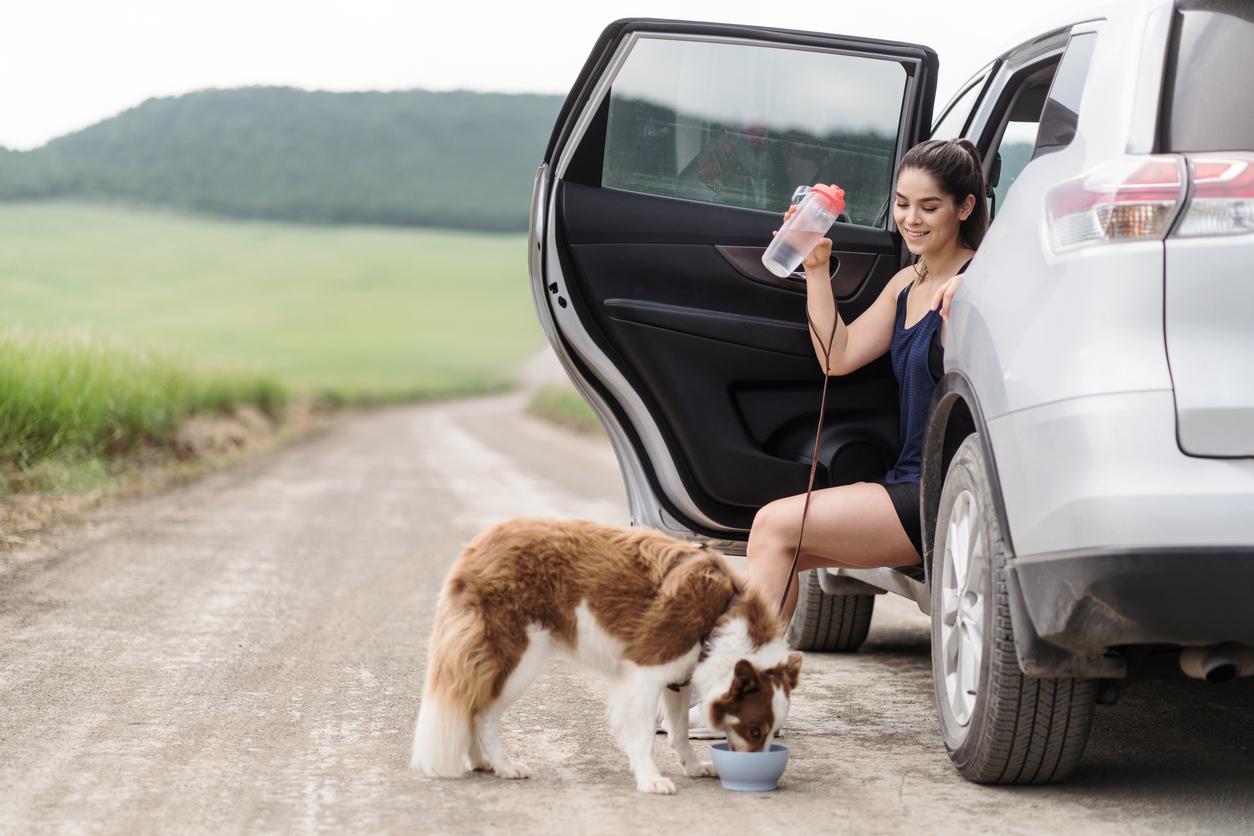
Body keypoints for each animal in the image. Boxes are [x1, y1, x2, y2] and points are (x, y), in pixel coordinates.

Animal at [411, 516, 802, 797]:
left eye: (771, 733)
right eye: (755, 729)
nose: (757, 774)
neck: (722, 616)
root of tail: (475, 548)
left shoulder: (677, 678)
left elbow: (678, 733)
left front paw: (692, 768)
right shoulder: (645, 673)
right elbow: (643, 734)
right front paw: (650, 780)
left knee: (471, 705)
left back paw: (479, 762)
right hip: (518, 657)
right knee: (483, 714)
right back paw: (504, 766)